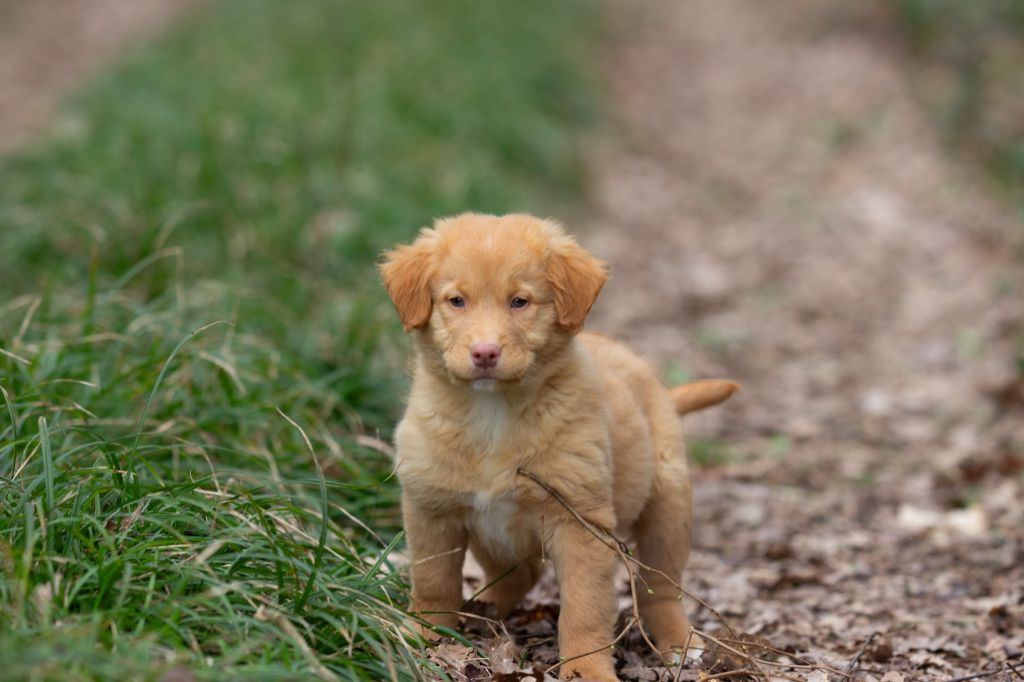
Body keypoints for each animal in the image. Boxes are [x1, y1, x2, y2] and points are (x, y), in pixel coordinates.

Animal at [378, 212, 737, 679]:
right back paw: (484, 611)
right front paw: (424, 636)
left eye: (519, 302)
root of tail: (659, 387)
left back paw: (679, 644)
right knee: (522, 574)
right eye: (456, 301)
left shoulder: (580, 521)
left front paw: (586, 669)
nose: (485, 352)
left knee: (661, 586)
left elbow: (583, 608)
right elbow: (433, 581)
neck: (493, 414)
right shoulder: (431, 508)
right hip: (493, 537)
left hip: (668, 505)